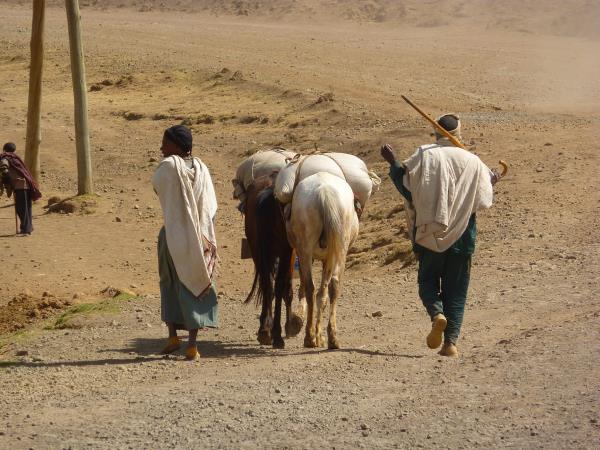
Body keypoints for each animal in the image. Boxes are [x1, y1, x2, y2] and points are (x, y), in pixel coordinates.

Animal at [288, 171, 358, 348]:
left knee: (311, 288)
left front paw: (316, 335)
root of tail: (324, 193)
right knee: (333, 284)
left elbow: (316, 292)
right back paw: (332, 337)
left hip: (307, 249)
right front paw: (320, 336)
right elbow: (323, 295)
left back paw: (310, 337)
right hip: (339, 247)